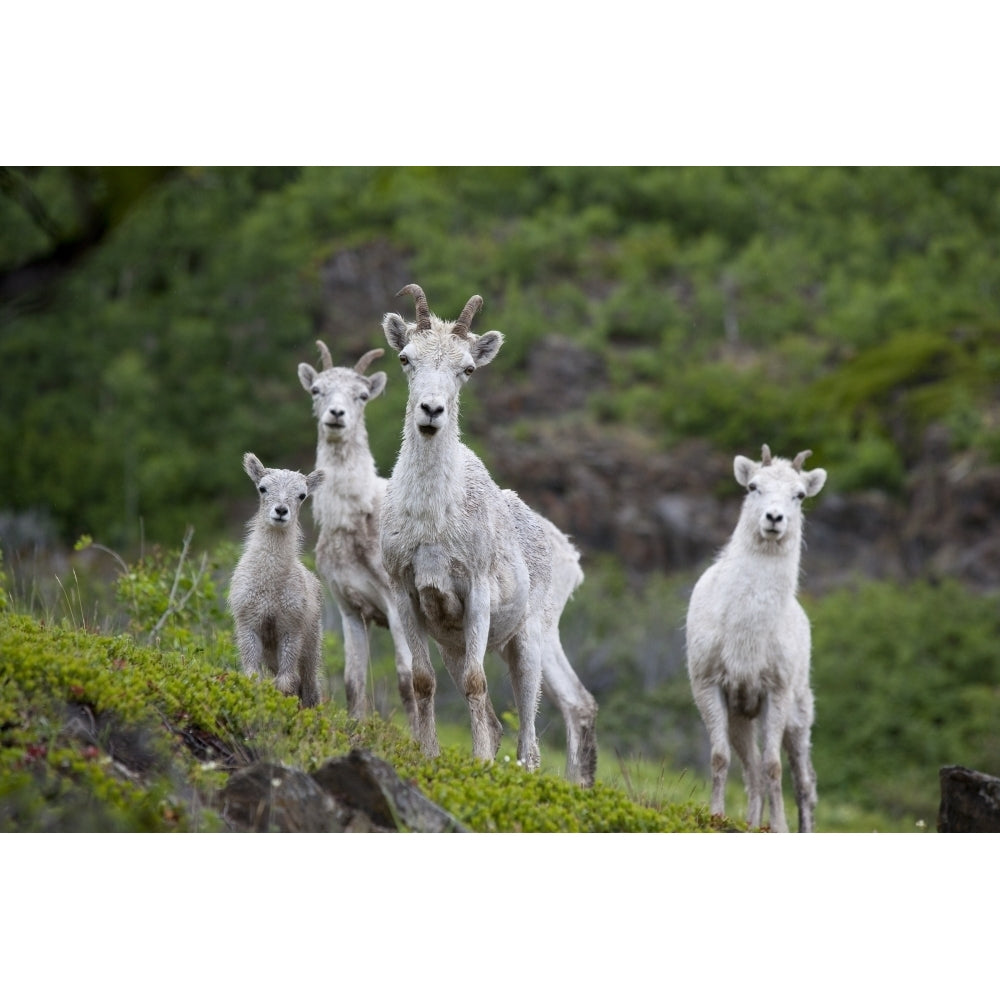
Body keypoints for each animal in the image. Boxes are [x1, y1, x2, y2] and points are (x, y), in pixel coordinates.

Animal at [229, 450, 324, 708]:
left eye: (302, 495)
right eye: (262, 488)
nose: (281, 511)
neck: (269, 587)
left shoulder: (291, 629)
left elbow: (285, 683)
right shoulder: (248, 625)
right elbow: (253, 677)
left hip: (311, 647)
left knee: (309, 687)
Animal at [684, 444, 824, 828]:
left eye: (799, 495)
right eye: (753, 487)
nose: (774, 519)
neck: (746, 633)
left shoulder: (775, 693)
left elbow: (774, 767)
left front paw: (778, 829)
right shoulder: (710, 688)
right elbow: (721, 759)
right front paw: (716, 816)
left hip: (798, 715)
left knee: (804, 784)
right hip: (741, 719)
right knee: (752, 773)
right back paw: (748, 824)